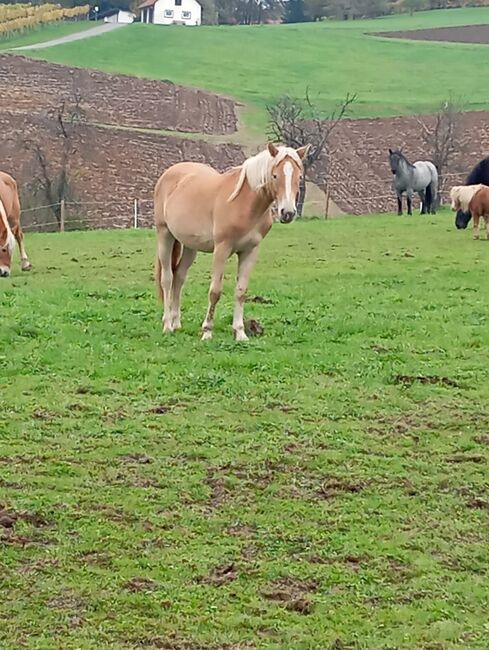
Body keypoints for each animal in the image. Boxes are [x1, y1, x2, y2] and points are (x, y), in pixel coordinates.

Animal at [154, 142, 308, 342]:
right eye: (275, 175)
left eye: (299, 177)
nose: (287, 213)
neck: (244, 204)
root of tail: (169, 173)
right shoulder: (222, 249)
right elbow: (215, 292)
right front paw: (207, 332)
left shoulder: (250, 251)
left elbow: (241, 291)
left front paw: (240, 332)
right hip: (164, 234)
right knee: (167, 278)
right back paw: (167, 325)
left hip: (189, 246)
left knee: (179, 277)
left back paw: (176, 323)